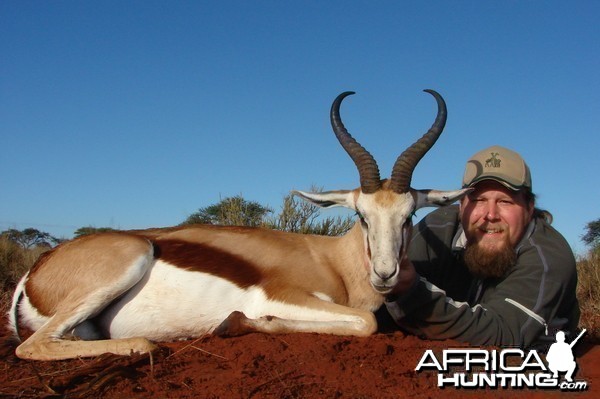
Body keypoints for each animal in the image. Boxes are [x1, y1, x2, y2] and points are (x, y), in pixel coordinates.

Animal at [8, 90, 468, 362]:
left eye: (408, 216)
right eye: (361, 215)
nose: (385, 273)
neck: (334, 262)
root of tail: (36, 272)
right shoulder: (285, 295)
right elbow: (365, 323)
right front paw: (238, 323)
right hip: (131, 259)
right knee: (32, 346)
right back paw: (145, 343)